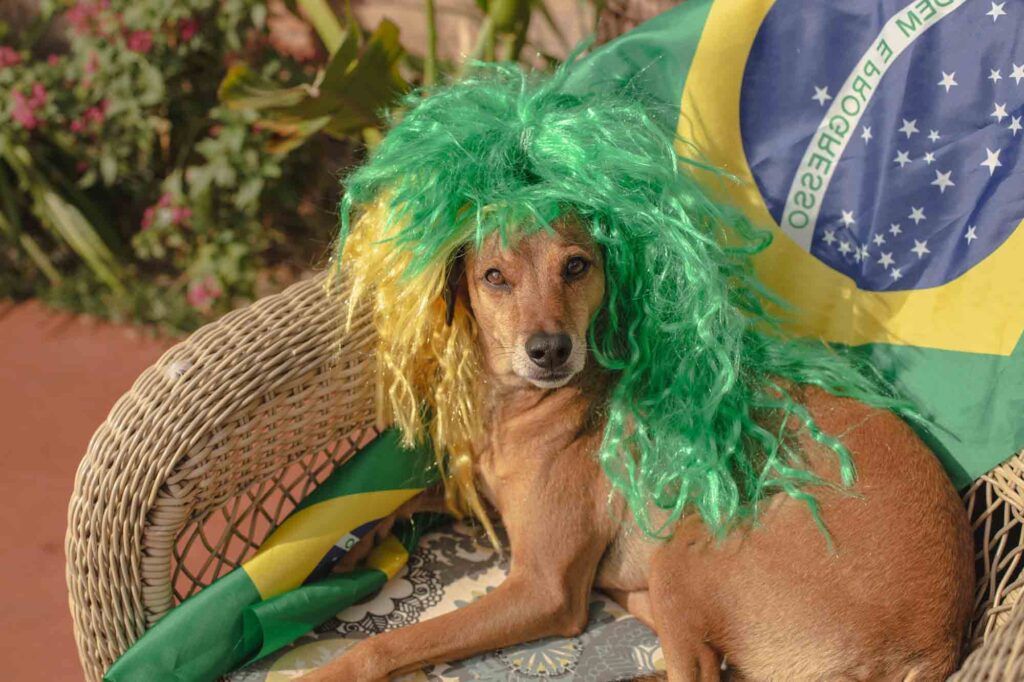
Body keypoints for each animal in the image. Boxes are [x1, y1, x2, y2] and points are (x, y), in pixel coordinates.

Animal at [299, 220, 970, 675]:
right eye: (494, 277)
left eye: (575, 267)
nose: (550, 349)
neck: (520, 408)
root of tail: (933, 647)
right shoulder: (486, 495)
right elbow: (404, 500)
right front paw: (350, 551)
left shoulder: (540, 588)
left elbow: (390, 641)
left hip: (688, 550)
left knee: (697, 669)